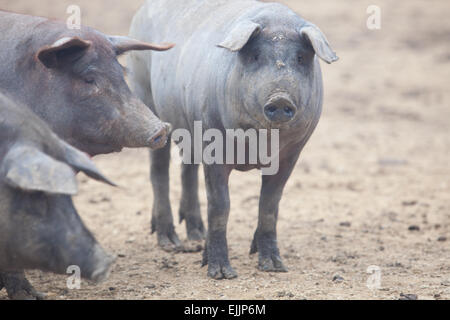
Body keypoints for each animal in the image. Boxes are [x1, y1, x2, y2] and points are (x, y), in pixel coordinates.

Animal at [128, 0, 336, 278]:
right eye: (256, 56)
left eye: (301, 58)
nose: (280, 97)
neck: (260, 144)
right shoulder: (214, 146)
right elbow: (220, 205)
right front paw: (221, 274)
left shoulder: (292, 153)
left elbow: (270, 204)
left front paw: (274, 266)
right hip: (148, 99)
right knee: (159, 170)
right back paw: (171, 243)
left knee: (187, 168)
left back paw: (196, 237)